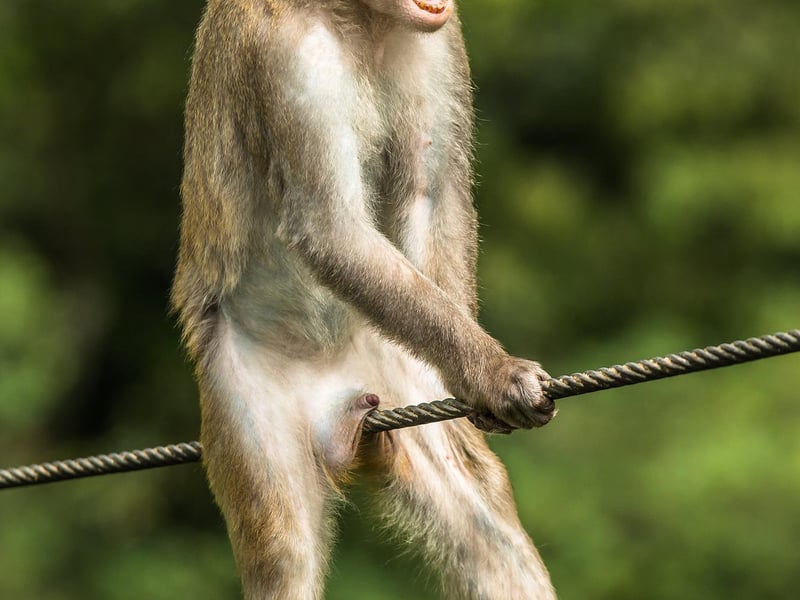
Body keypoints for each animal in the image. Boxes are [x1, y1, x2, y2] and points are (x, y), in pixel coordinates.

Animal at [171, 0, 558, 598]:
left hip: (389, 370)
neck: (358, 19)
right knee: (284, 552)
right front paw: (492, 371)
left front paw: (468, 379)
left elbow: (430, 193)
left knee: (488, 535)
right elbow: (330, 228)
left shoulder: (441, 38)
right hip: (244, 390)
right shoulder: (286, 50)